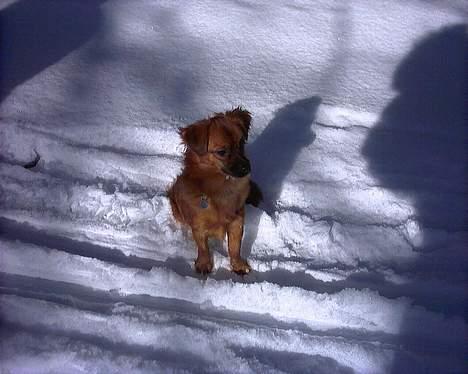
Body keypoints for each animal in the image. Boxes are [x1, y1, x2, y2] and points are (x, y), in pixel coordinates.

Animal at [167, 107, 260, 274]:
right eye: (222, 152)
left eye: (241, 143)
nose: (246, 167)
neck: (220, 186)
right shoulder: (198, 225)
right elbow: (203, 248)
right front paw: (204, 264)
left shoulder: (237, 221)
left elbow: (234, 247)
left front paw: (237, 265)